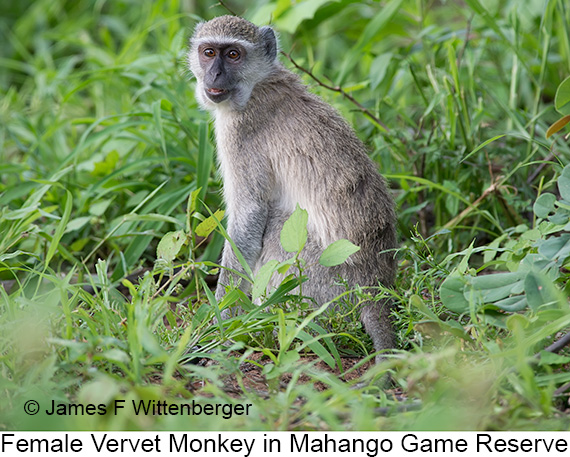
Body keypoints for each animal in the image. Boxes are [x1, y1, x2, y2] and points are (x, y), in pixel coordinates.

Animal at [187, 15, 394, 356]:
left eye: (233, 55)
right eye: (208, 52)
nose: (214, 74)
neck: (258, 85)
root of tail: (374, 285)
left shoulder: (240, 133)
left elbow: (249, 214)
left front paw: (222, 324)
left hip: (322, 280)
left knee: (276, 226)